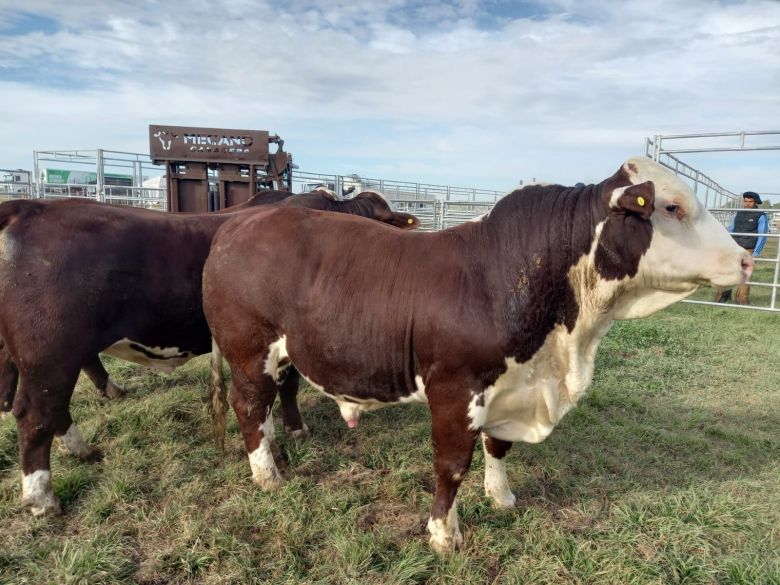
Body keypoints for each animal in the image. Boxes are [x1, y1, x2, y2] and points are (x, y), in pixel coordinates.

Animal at [0, 189, 420, 512]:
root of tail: (29, 207)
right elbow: (284, 388)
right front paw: (293, 430)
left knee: (48, 400)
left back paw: (78, 445)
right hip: (50, 352)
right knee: (36, 413)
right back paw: (41, 496)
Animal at [204, 156, 752, 552]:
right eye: (672, 207)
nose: (746, 259)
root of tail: (237, 224)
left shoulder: (510, 387)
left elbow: (498, 447)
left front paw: (502, 497)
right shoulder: (455, 390)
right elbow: (451, 465)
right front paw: (444, 534)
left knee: (268, 404)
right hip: (249, 351)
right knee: (248, 405)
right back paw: (267, 476)